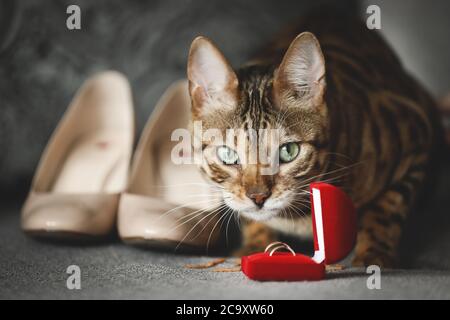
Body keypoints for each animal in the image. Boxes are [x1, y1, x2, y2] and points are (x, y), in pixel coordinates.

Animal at [185, 11, 440, 268]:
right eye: (228, 154)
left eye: (288, 151)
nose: (258, 197)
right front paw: (256, 244)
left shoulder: (417, 140)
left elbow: (385, 208)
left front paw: (373, 254)